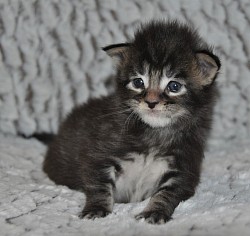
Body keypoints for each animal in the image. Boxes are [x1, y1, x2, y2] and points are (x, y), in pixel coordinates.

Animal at [43, 20, 221, 225]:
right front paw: (96, 209)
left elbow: (167, 194)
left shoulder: (184, 168)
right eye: (138, 82)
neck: (154, 134)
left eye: (174, 86)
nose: (151, 102)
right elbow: (99, 186)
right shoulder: (98, 154)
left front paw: (155, 211)